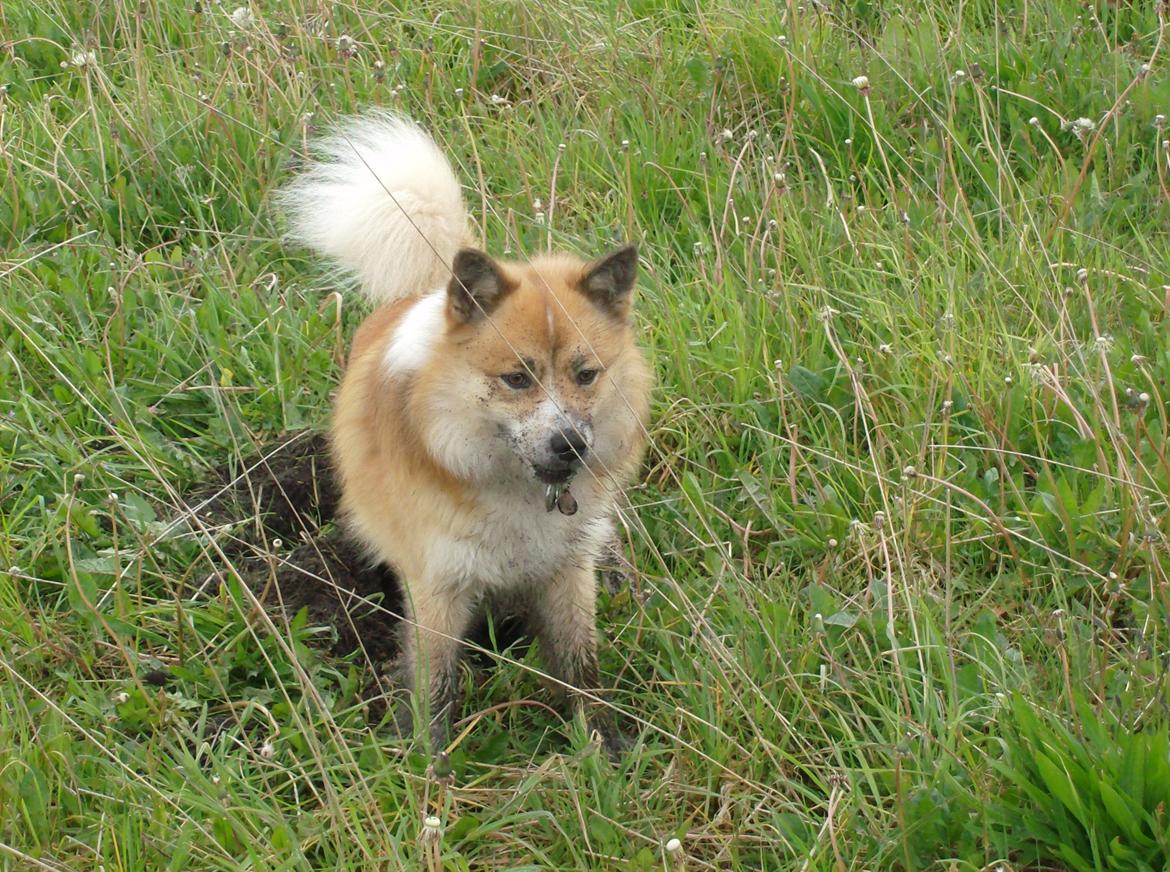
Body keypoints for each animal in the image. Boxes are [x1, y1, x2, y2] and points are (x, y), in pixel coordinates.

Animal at [279, 114, 655, 753]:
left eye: (585, 375)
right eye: (516, 378)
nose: (570, 444)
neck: (515, 490)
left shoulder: (567, 574)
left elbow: (581, 668)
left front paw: (602, 748)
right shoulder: (438, 589)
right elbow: (435, 688)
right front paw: (426, 765)